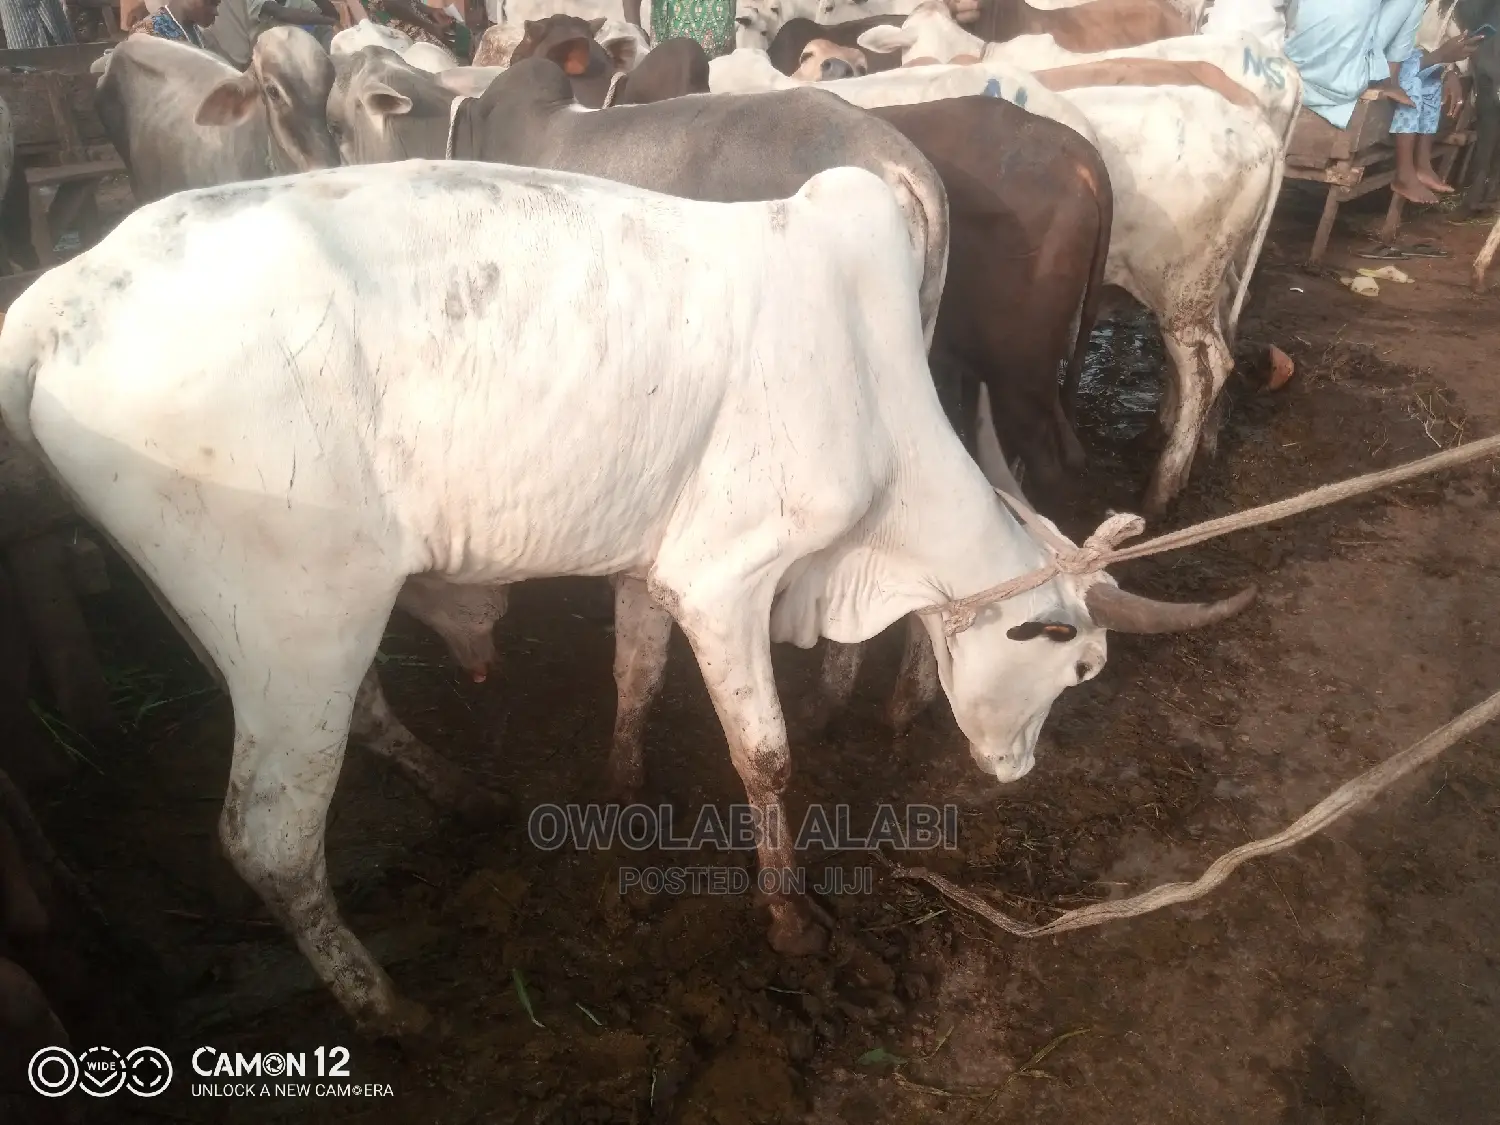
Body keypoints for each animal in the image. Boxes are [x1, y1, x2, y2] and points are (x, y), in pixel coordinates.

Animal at [0, 158, 1253, 1033]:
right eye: (1075, 659)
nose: (1018, 768)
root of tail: (58, 300)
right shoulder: (728, 576)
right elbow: (768, 754)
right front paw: (791, 921)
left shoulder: (657, 565)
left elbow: (635, 674)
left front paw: (618, 786)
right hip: (306, 616)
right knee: (266, 835)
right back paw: (386, 1006)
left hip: (249, 622)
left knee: (345, 727)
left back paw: (460, 795)